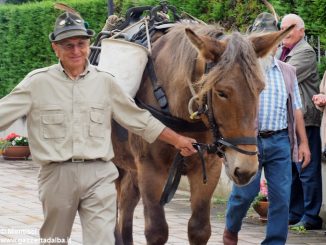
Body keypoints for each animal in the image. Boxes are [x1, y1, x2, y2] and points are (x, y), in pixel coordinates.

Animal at [111, 22, 292, 244]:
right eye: (221, 92)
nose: (246, 169)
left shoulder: (208, 168)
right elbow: (156, 230)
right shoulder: (150, 170)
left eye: (260, 89)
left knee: (126, 203)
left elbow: (199, 229)